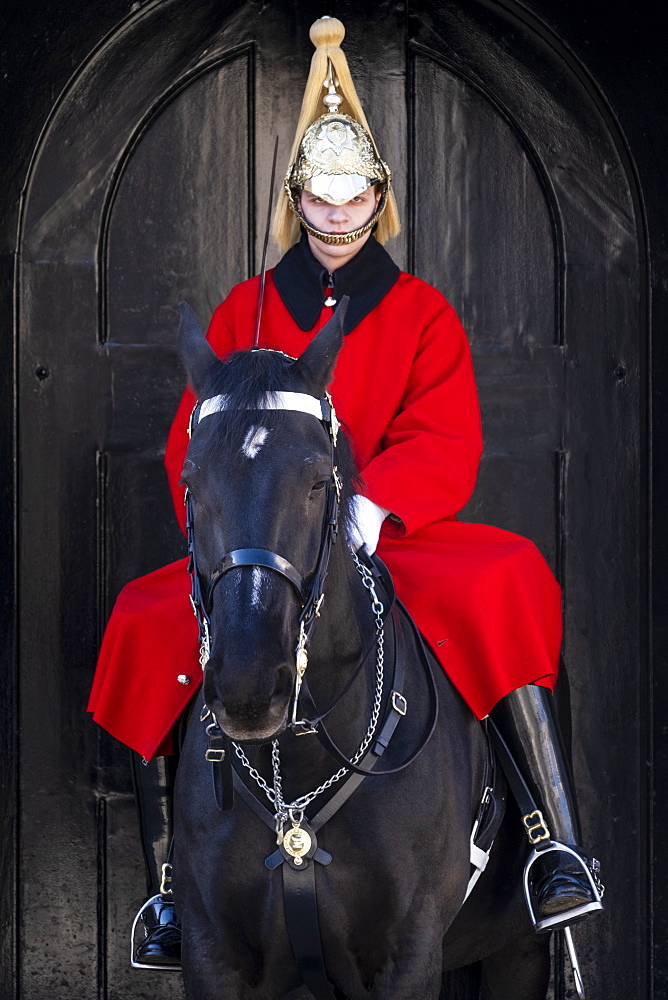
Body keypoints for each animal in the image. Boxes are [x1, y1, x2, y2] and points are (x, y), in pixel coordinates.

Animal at [174, 300, 552, 996]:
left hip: (519, 951)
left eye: (317, 481)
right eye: (191, 480)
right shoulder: (213, 952)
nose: (248, 686)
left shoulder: (408, 953)